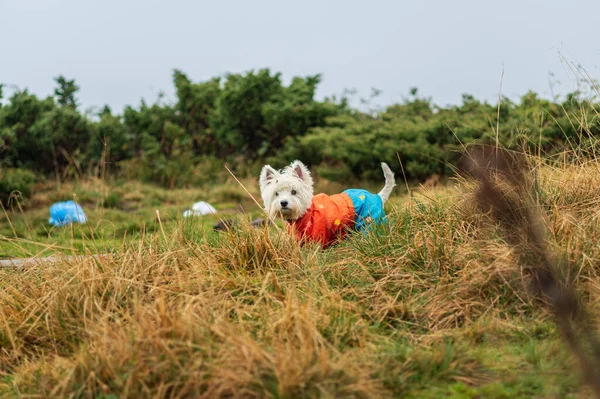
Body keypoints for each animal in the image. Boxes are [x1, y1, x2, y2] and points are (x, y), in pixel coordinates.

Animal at [256, 159, 394, 247]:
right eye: (276, 193)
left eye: (294, 192)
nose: (283, 203)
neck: (304, 214)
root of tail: (377, 196)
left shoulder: (317, 239)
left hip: (369, 222)